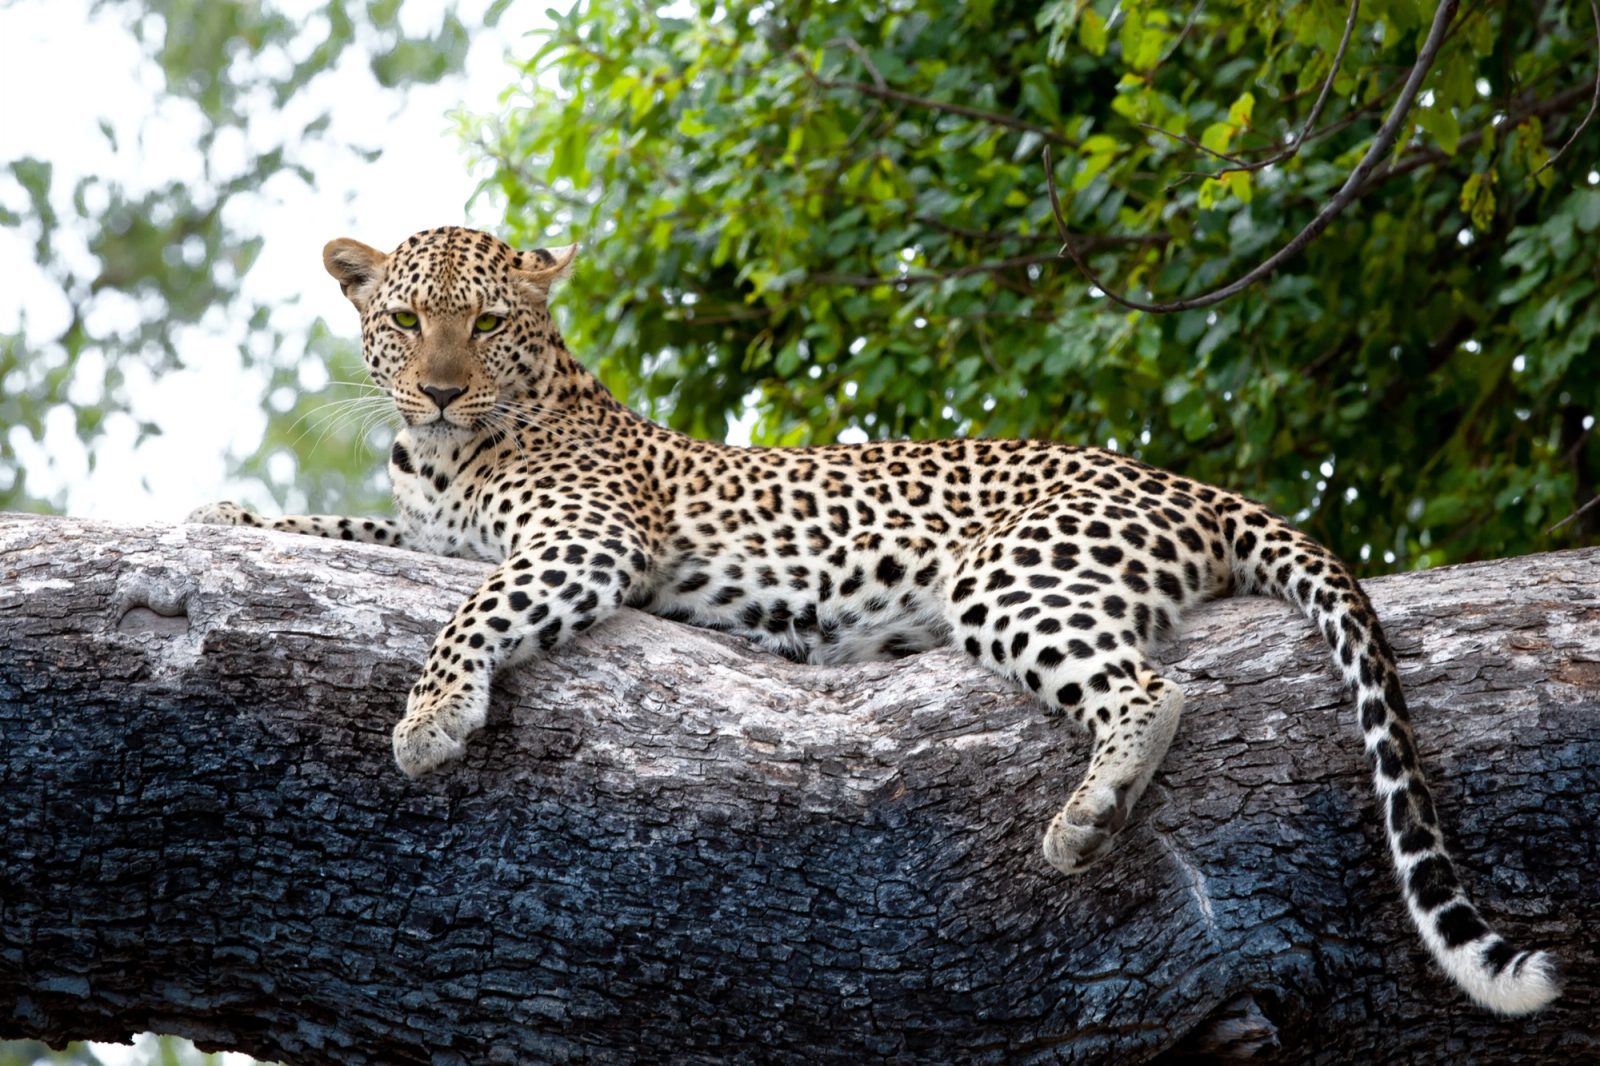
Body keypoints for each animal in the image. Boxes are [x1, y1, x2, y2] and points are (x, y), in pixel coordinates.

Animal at [187, 225, 1559, 1016]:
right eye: (406, 320)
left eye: (486, 321)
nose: (437, 388)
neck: (443, 454)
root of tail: (1194, 485)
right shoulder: (426, 536)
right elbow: (349, 536)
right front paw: (231, 512)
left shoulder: (584, 539)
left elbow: (472, 606)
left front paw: (430, 718)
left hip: (1009, 575)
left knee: (1153, 687)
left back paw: (1086, 816)